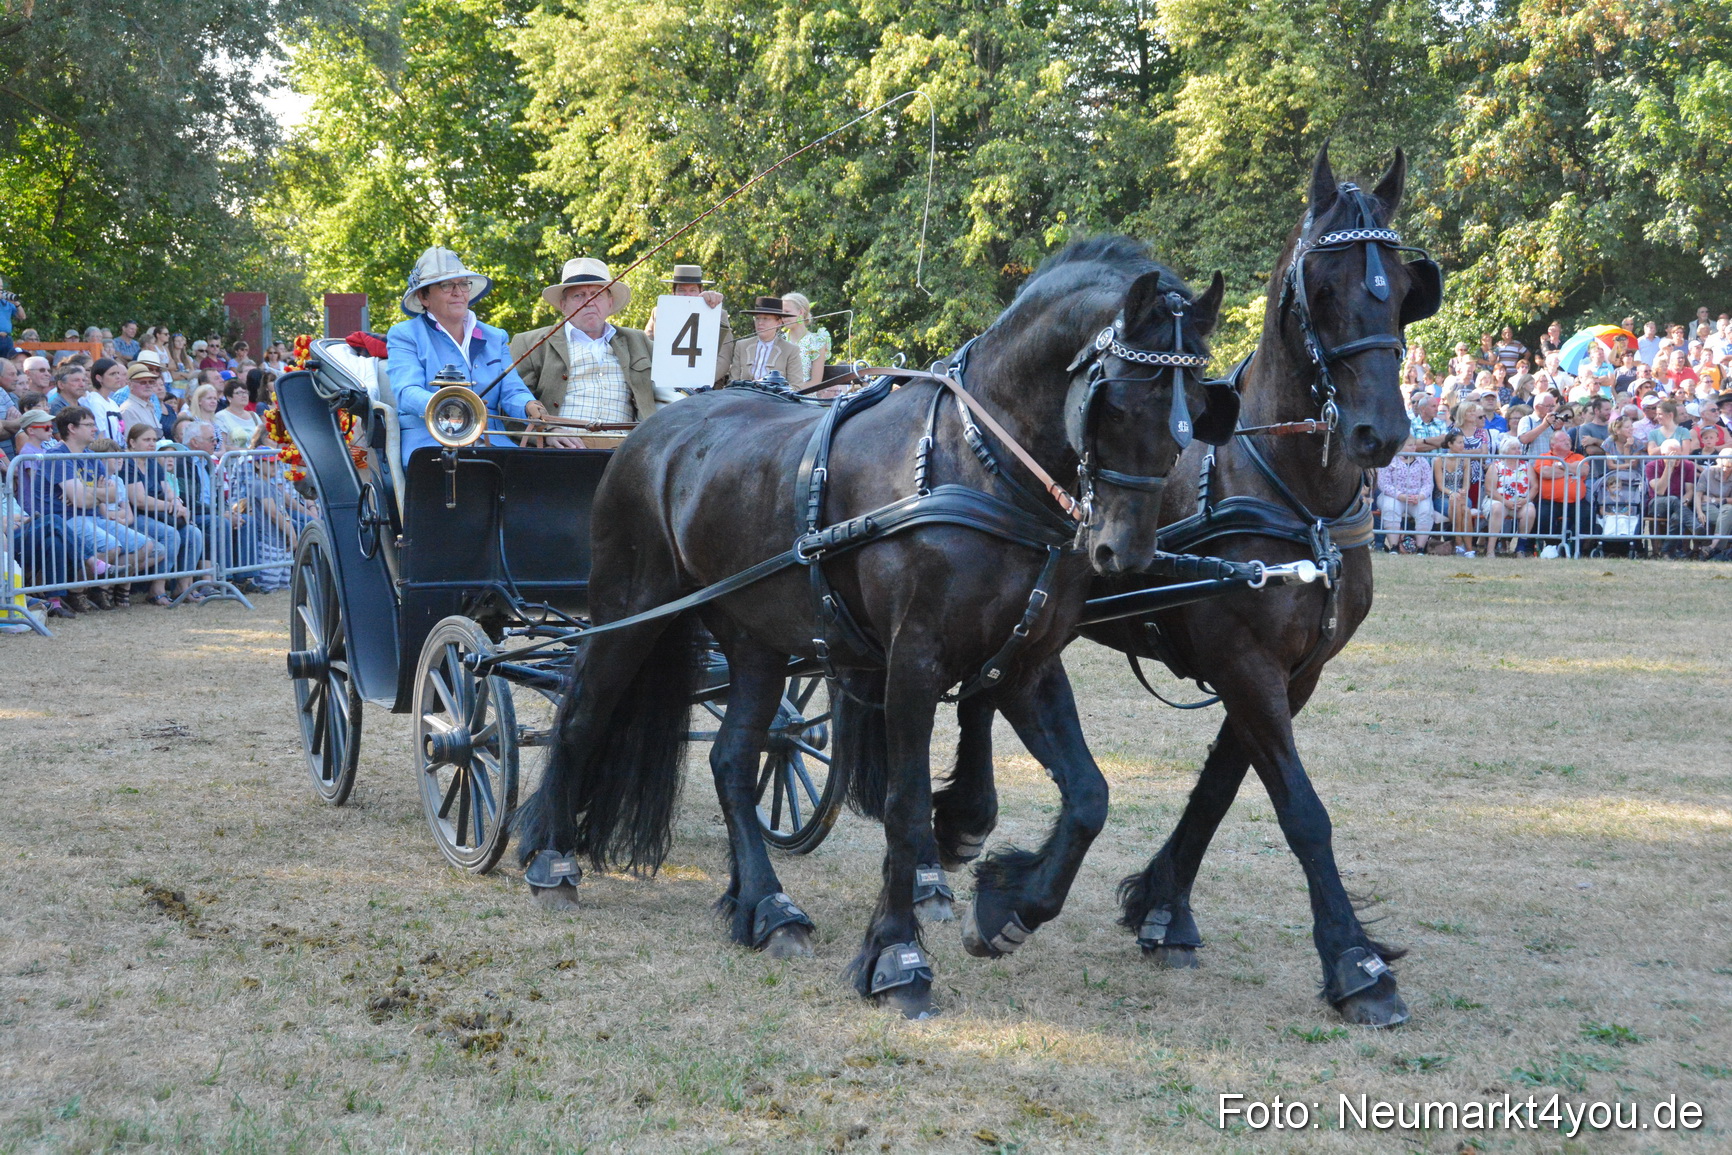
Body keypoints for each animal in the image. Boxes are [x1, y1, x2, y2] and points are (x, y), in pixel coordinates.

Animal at [512, 236, 1236, 1018]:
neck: (976, 464)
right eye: (1118, 402)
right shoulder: (913, 661)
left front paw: (1006, 909)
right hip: (630, 610)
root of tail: (651, 430)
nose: (1123, 554)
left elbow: (1089, 797)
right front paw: (898, 957)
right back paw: (551, 858)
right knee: (582, 716)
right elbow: (905, 806)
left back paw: (765, 906)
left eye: (1200, 409)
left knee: (731, 761)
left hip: (757, 643)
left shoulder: (1026, 663)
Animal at [945, 148, 1444, 1027]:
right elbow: (1301, 810)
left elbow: (1218, 787)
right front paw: (1355, 962)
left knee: (983, 689)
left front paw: (1161, 907)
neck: (1292, 494)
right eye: (1322, 286)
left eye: (1402, 289)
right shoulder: (1245, 663)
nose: (1378, 431)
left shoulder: (1294, 672)